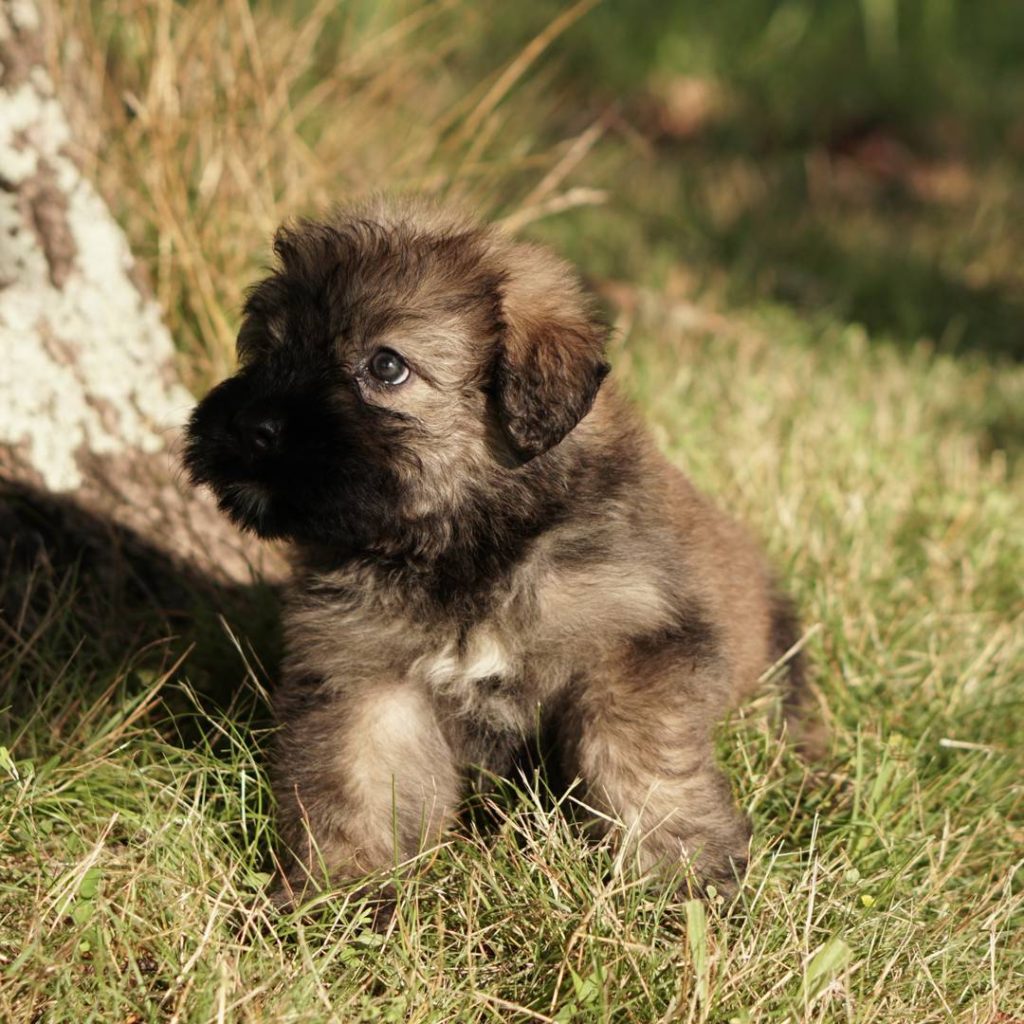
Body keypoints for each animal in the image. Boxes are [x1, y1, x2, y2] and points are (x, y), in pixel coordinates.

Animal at [182, 195, 806, 901]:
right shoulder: (365, 672)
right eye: (267, 349)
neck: (468, 547)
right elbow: (357, 779)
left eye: (387, 365)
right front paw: (345, 890)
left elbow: (640, 760)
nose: (250, 426)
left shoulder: (635, 640)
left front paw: (684, 873)